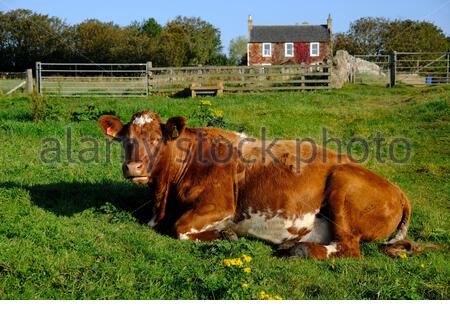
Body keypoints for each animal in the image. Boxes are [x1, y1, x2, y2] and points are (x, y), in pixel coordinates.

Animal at [98, 111, 412, 258]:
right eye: (125, 139)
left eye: (156, 138)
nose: (133, 168)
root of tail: (397, 189)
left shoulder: (220, 206)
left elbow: (180, 228)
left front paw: (226, 235)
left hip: (343, 186)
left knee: (349, 249)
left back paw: (296, 250)